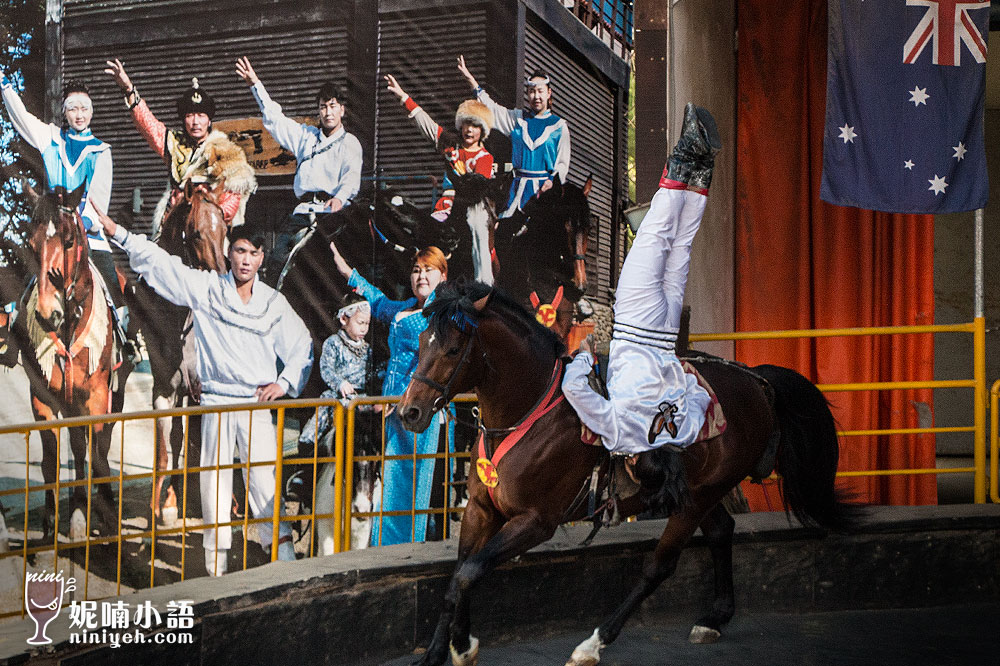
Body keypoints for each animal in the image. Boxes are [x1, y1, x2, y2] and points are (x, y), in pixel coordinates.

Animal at [396, 278, 860, 664]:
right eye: (421, 342)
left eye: (452, 350)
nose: (409, 413)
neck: (531, 412)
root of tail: (755, 380)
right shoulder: (481, 510)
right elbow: (456, 578)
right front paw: (434, 653)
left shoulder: (536, 521)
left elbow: (469, 574)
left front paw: (462, 647)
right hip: (700, 490)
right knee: (720, 531)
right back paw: (713, 618)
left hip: (699, 496)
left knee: (660, 566)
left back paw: (593, 643)